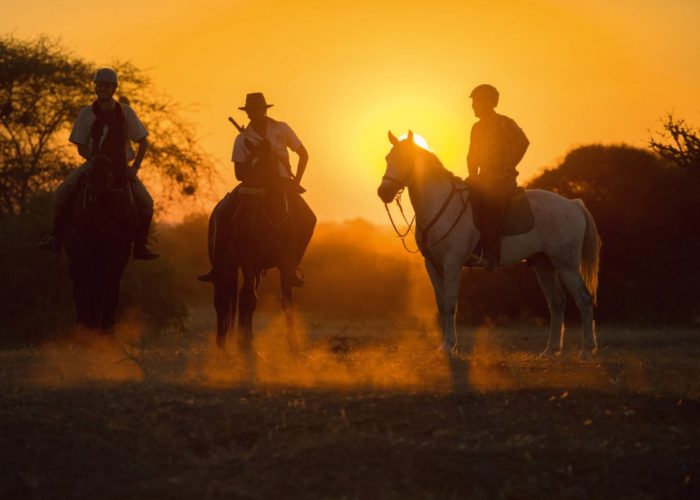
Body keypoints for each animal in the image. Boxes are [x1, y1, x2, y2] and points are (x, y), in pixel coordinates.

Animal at [63, 155, 139, 336]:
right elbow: (87, 289)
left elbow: (110, 290)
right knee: (81, 286)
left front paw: (107, 332)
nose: (98, 182)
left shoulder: (120, 251)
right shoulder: (85, 249)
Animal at [206, 138, 296, 352]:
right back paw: (223, 342)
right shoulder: (249, 261)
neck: (273, 220)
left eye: (264, 166)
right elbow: (249, 298)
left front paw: (293, 344)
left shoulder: (285, 263)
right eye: (247, 167)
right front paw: (245, 341)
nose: (247, 203)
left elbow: (287, 300)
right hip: (225, 265)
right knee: (223, 298)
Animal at [378, 131, 600, 362]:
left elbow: (451, 303)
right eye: (388, 158)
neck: (439, 204)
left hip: (566, 265)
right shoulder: (432, 265)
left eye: (405, 159)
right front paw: (443, 347)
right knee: (557, 302)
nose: (383, 192)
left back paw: (586, 351)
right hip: (544, 264)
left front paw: (450, 346)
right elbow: (441, 305)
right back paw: (550, 351)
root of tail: (573, 204)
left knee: (583, 299)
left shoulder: (452, 264)